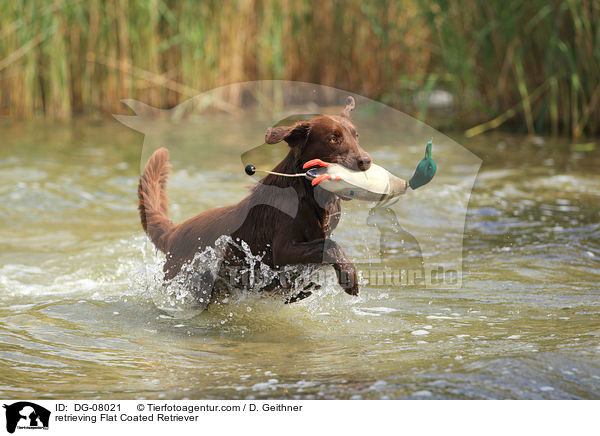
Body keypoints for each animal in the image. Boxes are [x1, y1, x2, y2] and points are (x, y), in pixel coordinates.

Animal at [139, 96, 370, 298]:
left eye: (356, 136)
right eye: (334, 139)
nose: (366, 161)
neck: (307, 195)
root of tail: (174, 232)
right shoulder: (281, 250)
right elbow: (329, 246)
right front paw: (349, 277)